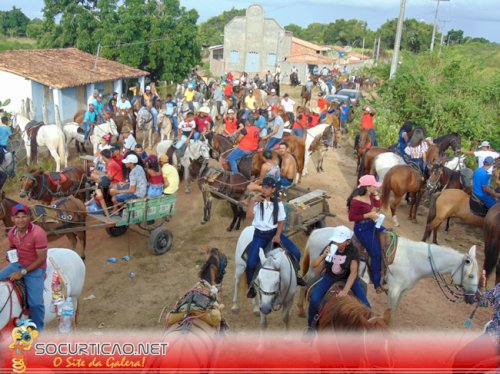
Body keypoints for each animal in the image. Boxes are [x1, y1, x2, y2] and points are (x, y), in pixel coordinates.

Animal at [298, 228, 478, 312]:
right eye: (471, 275)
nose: (472, 298)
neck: (413, 259)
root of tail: (316, 231)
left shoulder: (403, 291)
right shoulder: (394, 290)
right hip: (315, 268)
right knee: (306, 282)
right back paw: (301, 309)